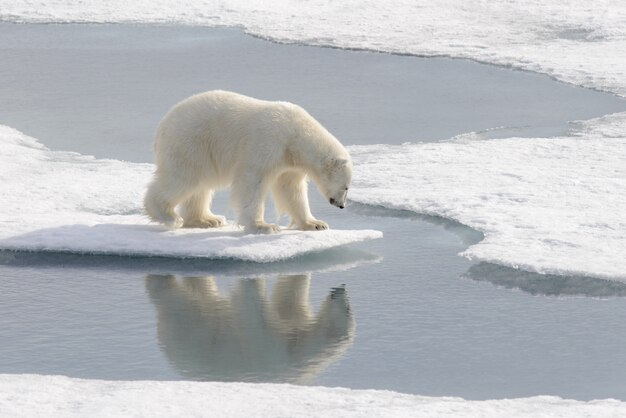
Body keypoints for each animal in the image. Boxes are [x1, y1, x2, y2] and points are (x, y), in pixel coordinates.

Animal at [144, 90, 354, 233]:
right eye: (346, 187)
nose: (342, 205)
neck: (295, 134)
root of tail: (162, 127)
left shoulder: (289, 162)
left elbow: (290, 190)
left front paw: (316, 224)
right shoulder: (267, 142)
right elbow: (252, 181)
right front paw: (264, 226)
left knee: (200, 185)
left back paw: (207, 220)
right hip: (191, 142)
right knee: (183, 179)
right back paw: (168, 216)